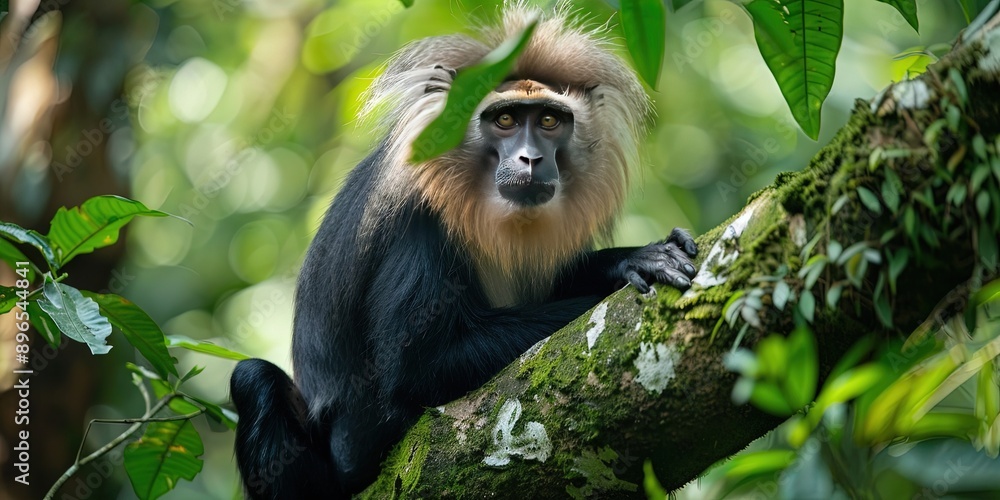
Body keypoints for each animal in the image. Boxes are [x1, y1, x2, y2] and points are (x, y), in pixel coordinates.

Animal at [229, 5, 697, 499]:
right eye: (505, 120)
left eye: (549, 121)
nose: (531, 158)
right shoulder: (420, 221)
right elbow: (417, 369)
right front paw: (632, 268)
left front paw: (633, 256)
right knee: (253, 378)